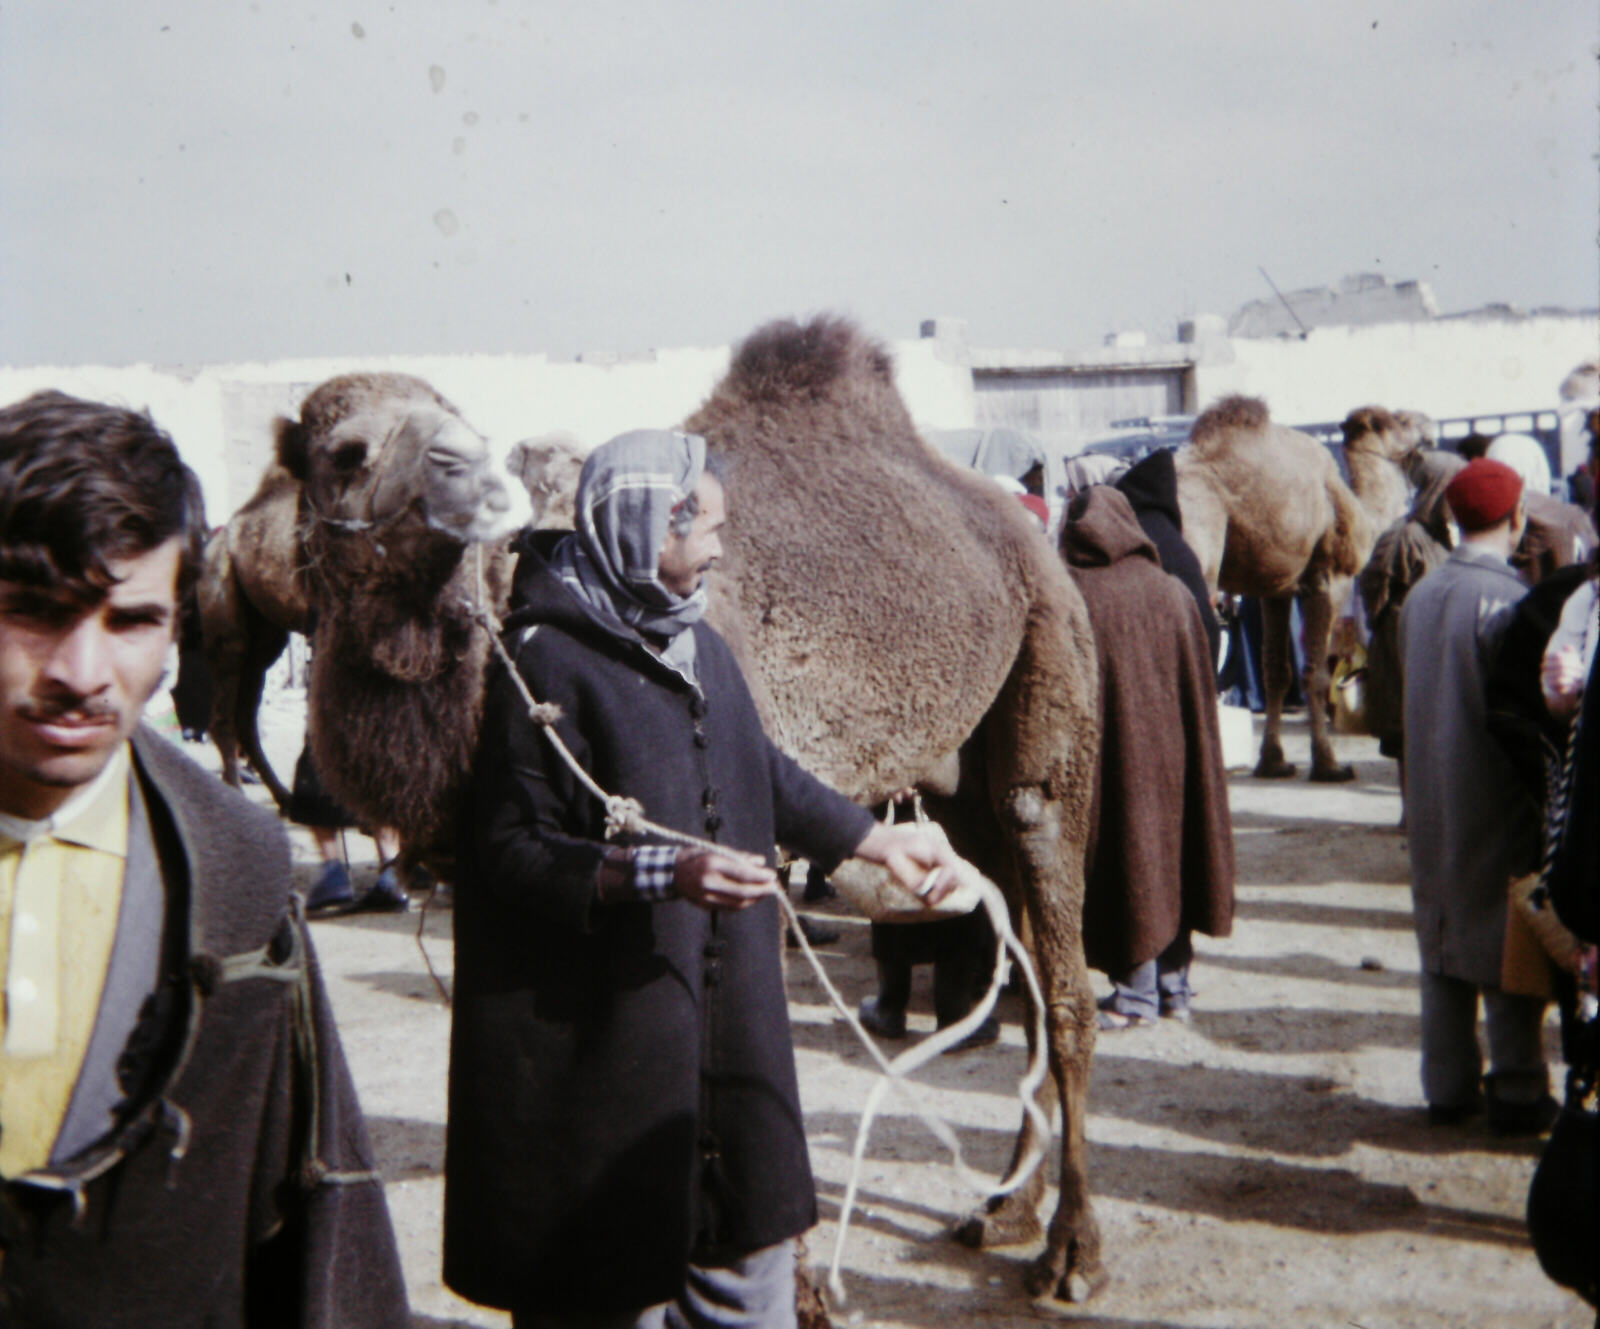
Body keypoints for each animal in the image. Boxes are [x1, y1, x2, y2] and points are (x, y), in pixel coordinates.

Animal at [681, 315, 1107, 1311]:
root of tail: (1042, 546)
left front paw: (794, 1292)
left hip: (1050, 655)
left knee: (1056, 937)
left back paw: (1071, 1253)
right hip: (965, 779)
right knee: (1027, 967)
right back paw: (1006, 1209)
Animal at [1171, 399, 1420, 783]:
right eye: (1401, 421)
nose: (1428, 426)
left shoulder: (1275, 588)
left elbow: (1276, 670)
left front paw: (1273, 762)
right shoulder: (1327, 578)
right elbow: (1315, 672)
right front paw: (1329, 765)